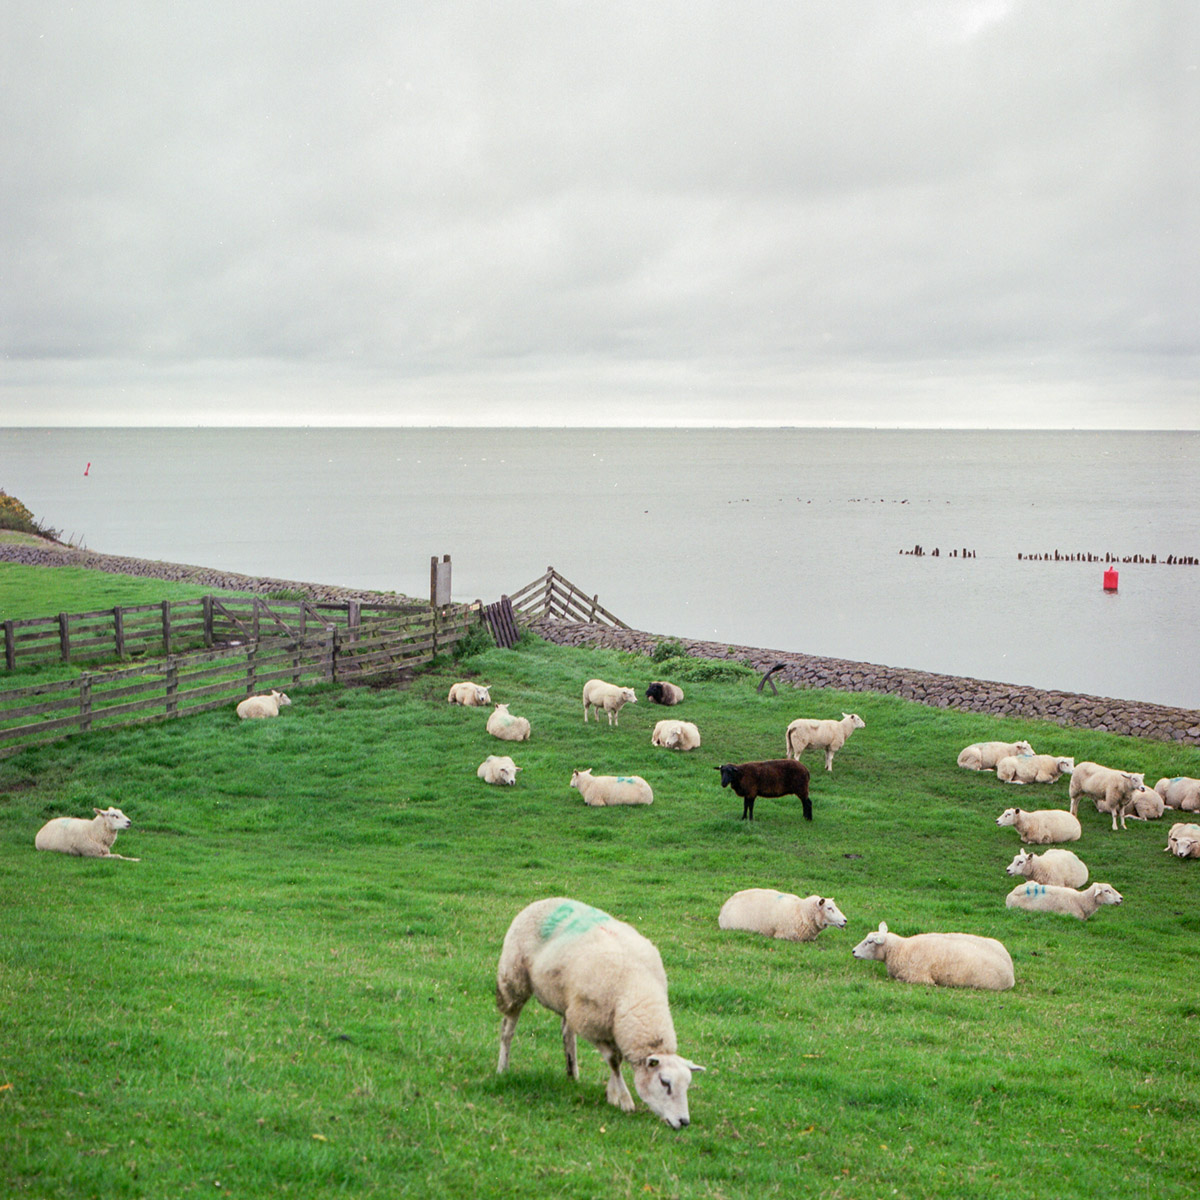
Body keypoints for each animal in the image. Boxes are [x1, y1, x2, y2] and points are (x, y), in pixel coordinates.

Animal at [494, 897, 700, 1128]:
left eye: (687, 1084)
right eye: (665, 1082)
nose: (684, 1121)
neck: (636, 989)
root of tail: (544, 900)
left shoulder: (614, 1024)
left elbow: (614, 1060)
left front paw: (612, 1094)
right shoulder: (593, 1023)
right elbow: (614, 1061)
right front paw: (624, 1099)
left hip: (568, 1000)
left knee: (568, 1035)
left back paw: (572, 1074)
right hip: (514, 980)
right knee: (507, 1029)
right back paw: (503, 1067)